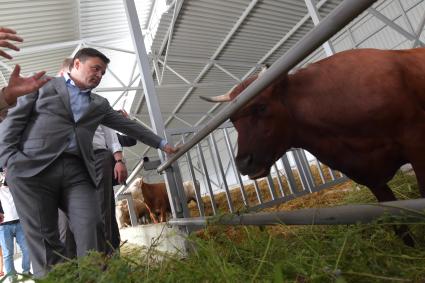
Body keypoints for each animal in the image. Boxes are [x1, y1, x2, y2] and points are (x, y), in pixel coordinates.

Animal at [200, 47, 424, 245]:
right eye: (232, 120)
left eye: (261, 107)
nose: (243, 163)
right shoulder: (370, 177)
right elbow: (395, 218)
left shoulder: (416, 145)